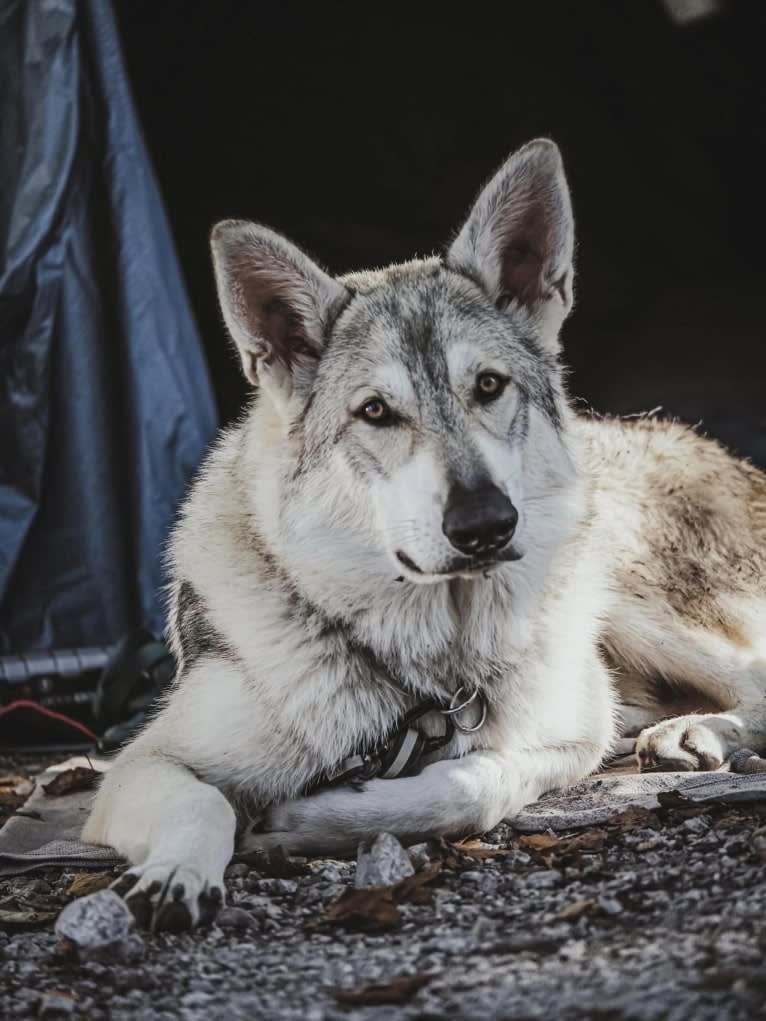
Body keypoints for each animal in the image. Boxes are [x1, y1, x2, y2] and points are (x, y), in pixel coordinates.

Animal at [83, 139, 766, 931]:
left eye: (490, 386)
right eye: (376, 411)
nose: (486, 525)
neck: (431, 674)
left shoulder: (574, 732)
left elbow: (469, 784)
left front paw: (315, 819)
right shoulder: (139, 766)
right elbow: (203, 803)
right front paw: (177, 874)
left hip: (627, 596)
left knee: (754, 677)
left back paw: (698, 732)